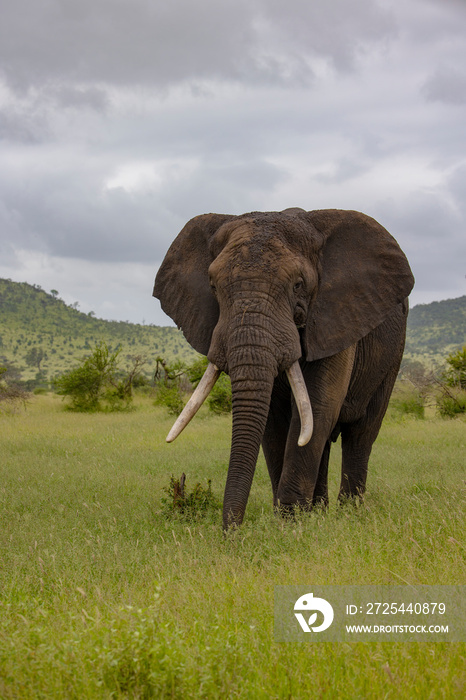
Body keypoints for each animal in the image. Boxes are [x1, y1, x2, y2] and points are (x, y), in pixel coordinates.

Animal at [154, 208, 416, 532]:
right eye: (213, 286)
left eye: (298, 285)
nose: (231, 533)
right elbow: (275, 418)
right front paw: (291, 518)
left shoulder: (335, 317)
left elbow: (317, 405)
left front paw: (290, 521)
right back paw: (320, 510)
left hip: (392, 356)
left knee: (361, 433)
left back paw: (349, 512)